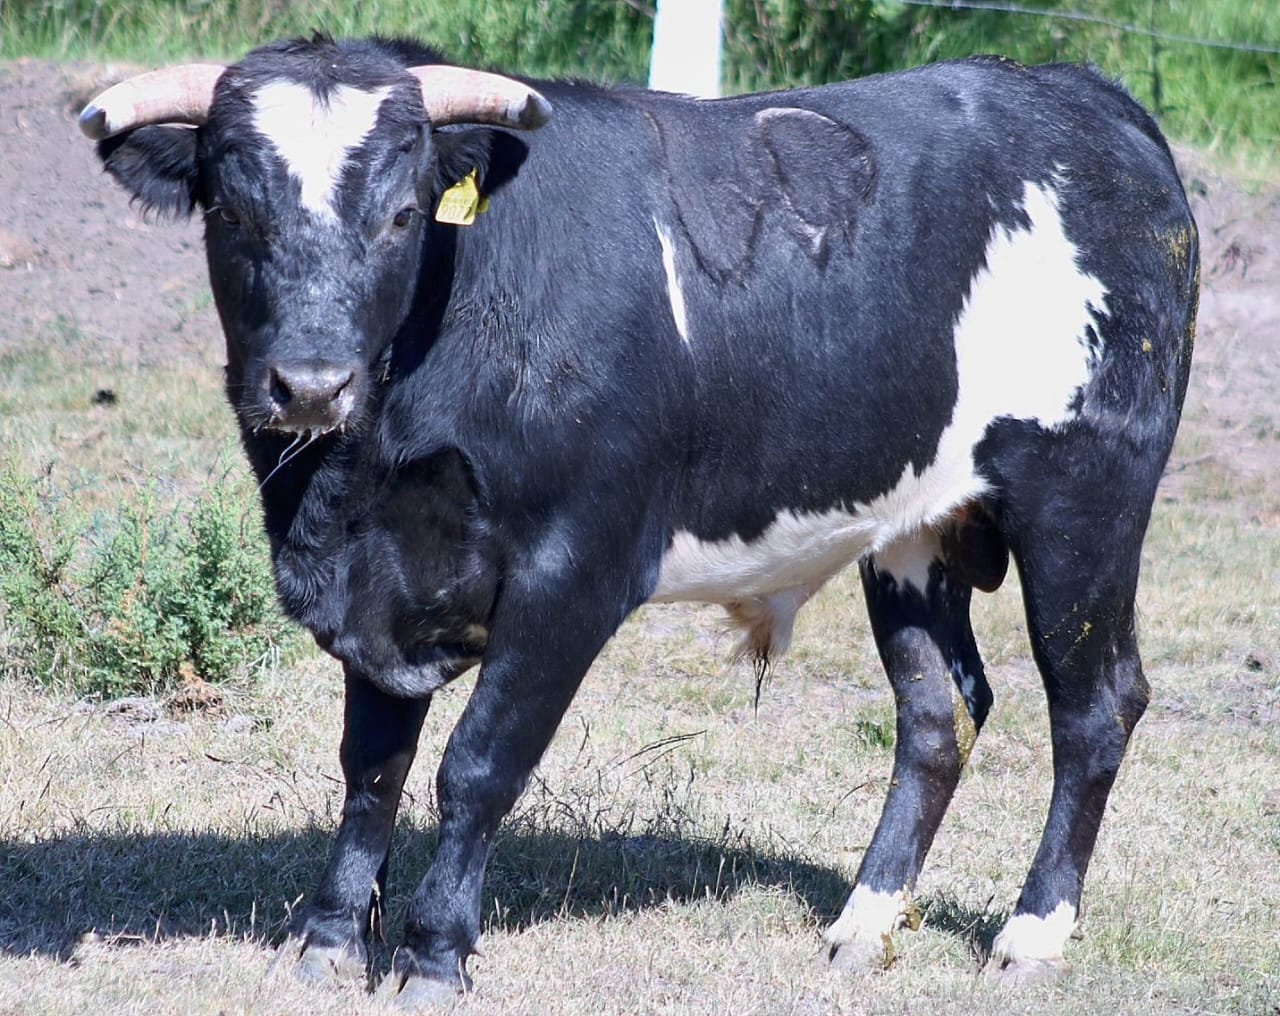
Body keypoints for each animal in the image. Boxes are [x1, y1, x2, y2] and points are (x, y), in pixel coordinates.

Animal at [80, 33, 1198, 998]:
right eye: (233, 212)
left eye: (401, 215)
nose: (311, 384)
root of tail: (1078, 97)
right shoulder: (381, 578)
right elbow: (371, 767)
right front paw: (328, 939)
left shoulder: (573, 571)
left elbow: (476, 764)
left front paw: (435, 952)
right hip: (914, 528)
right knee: (939, 710)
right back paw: (862, 922)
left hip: (1084, 504)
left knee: (1095, 708)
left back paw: (1030, 933)